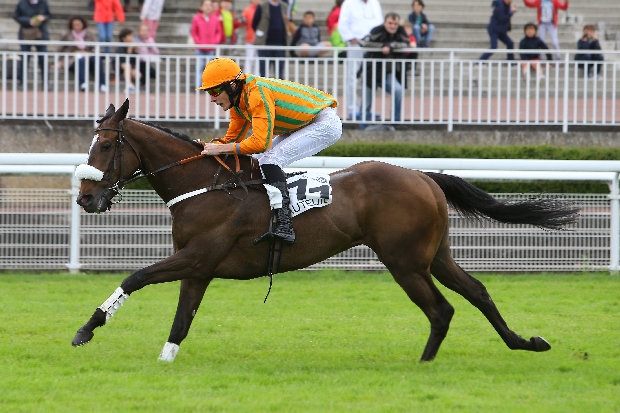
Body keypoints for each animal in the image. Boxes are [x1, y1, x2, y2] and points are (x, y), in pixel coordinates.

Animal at [74, 100, 580, 360]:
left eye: (105, 146)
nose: (85, 199)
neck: (206, 185)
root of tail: (422, 175)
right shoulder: (199, 267)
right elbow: (182, 319)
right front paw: (164, 361)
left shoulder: (197, 257)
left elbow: (135, 277)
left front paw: (86, 329)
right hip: (434, 254)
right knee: (476, 292)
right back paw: (525, 342)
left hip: (404, 261)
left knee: (441, 310)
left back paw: (424, 364)